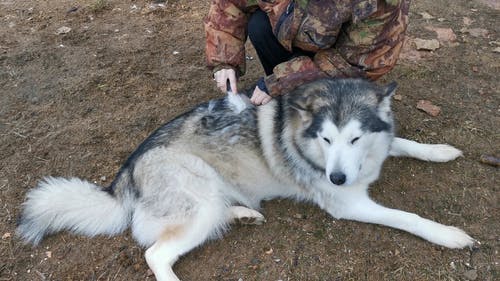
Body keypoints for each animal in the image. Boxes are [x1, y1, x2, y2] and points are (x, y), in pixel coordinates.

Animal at [16, 78, 476, 280]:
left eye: (354, 138)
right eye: (326, 139)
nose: (337, 177)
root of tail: (125, 172)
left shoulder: (376, 150)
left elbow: (407, 143)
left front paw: (442, 151)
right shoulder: (350, 204)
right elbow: (407, 218)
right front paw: (450, 235)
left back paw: (243, 214)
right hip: (198, 196)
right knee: (155, 253)